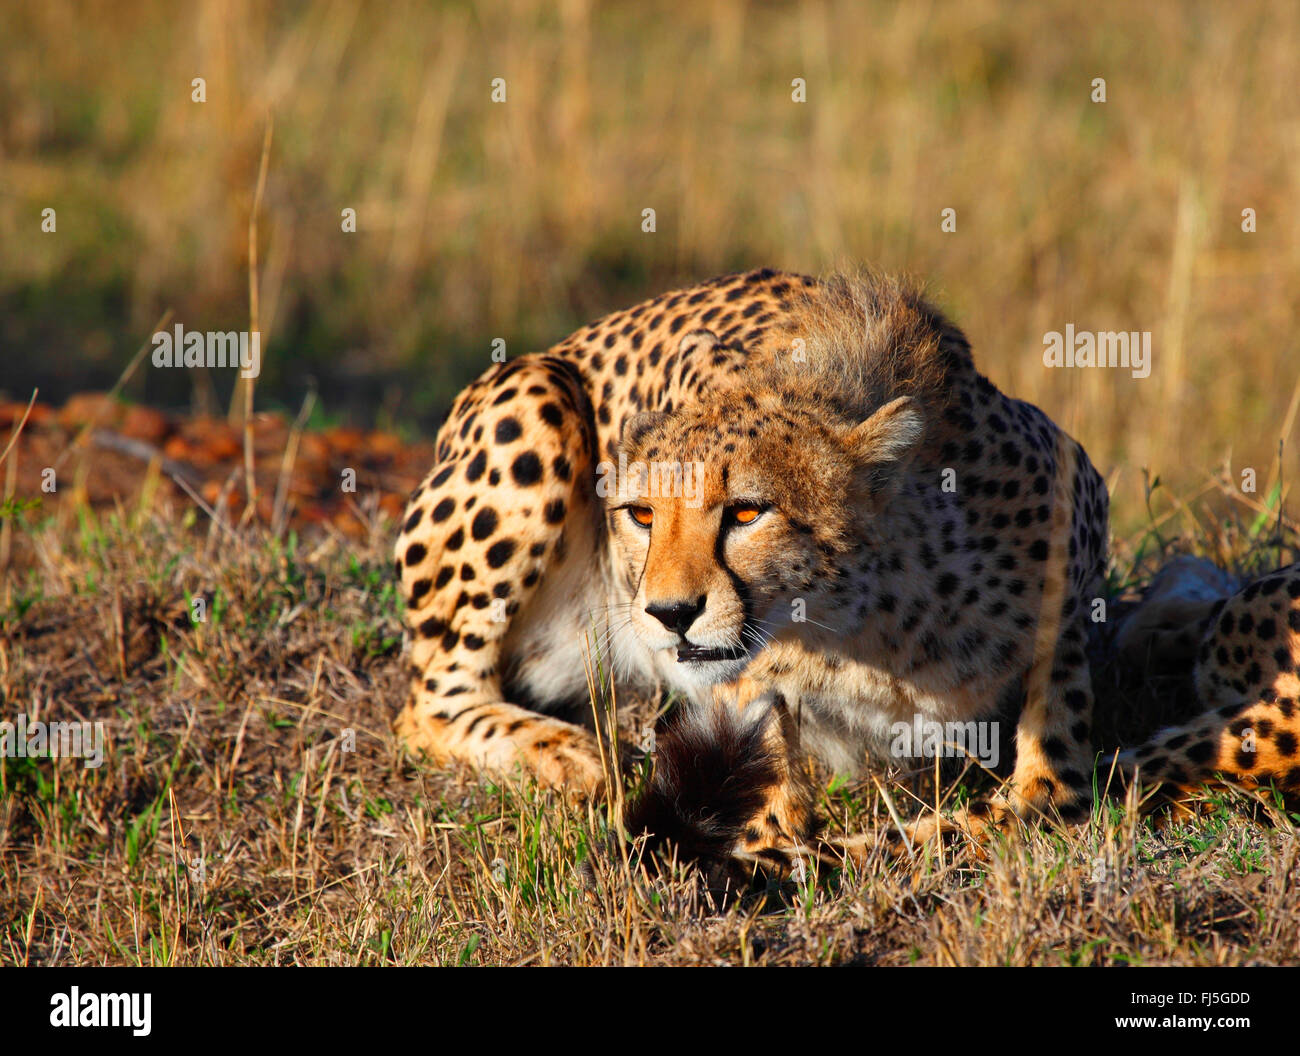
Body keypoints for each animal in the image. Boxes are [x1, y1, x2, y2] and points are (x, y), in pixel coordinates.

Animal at [392, 267, 1107, 853]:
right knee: (428, 704)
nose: (669, 614)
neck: (877, 627)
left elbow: (1028, 803)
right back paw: (576, 754)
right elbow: (780, 831)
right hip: (537, 392)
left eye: (745, 513)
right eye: (641, 515)